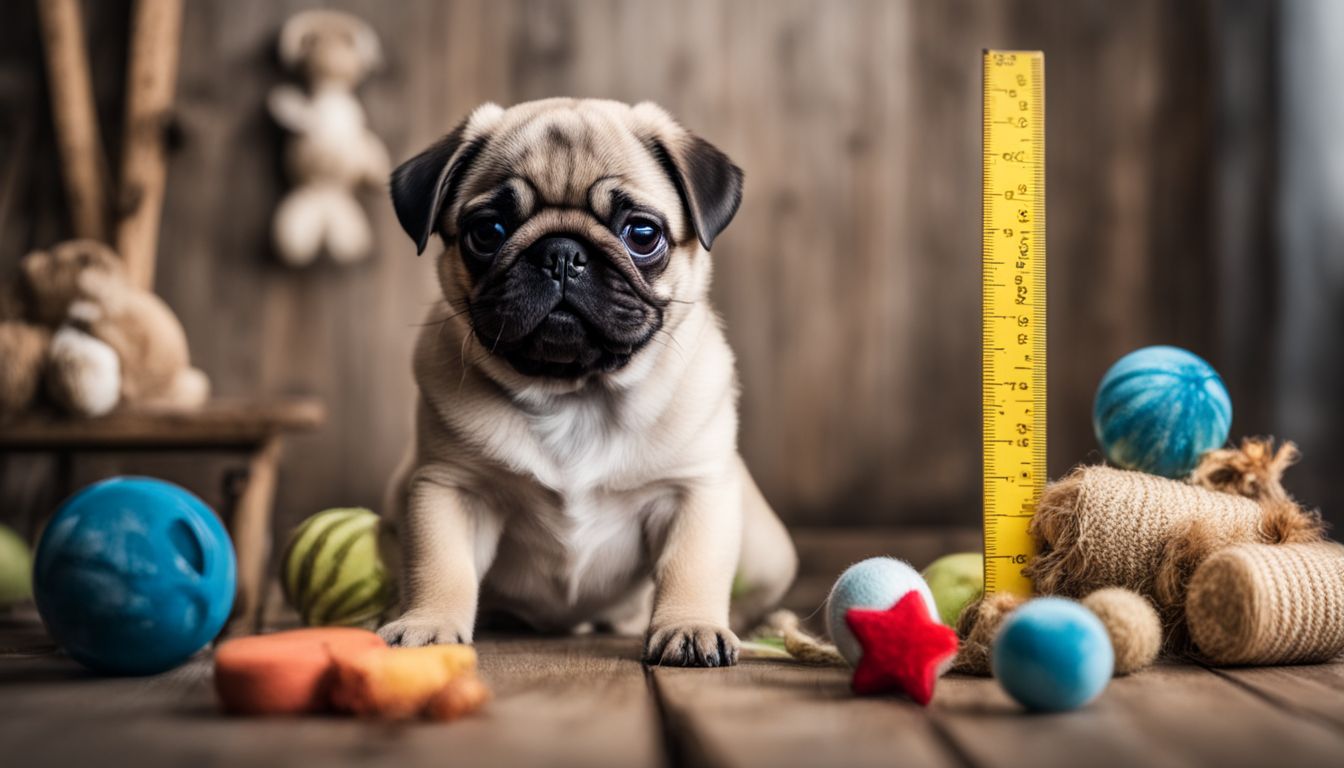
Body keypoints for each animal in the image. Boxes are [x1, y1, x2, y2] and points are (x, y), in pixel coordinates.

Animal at [376, 97, 795, 667]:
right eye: (488, 232)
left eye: (642, 234)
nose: (561, 253)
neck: (576, 392)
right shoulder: (449, 488)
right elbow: (441, 564)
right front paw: (427, 623)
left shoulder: (694, 491)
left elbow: (692, 565)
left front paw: (690, 627)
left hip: (767, 550)